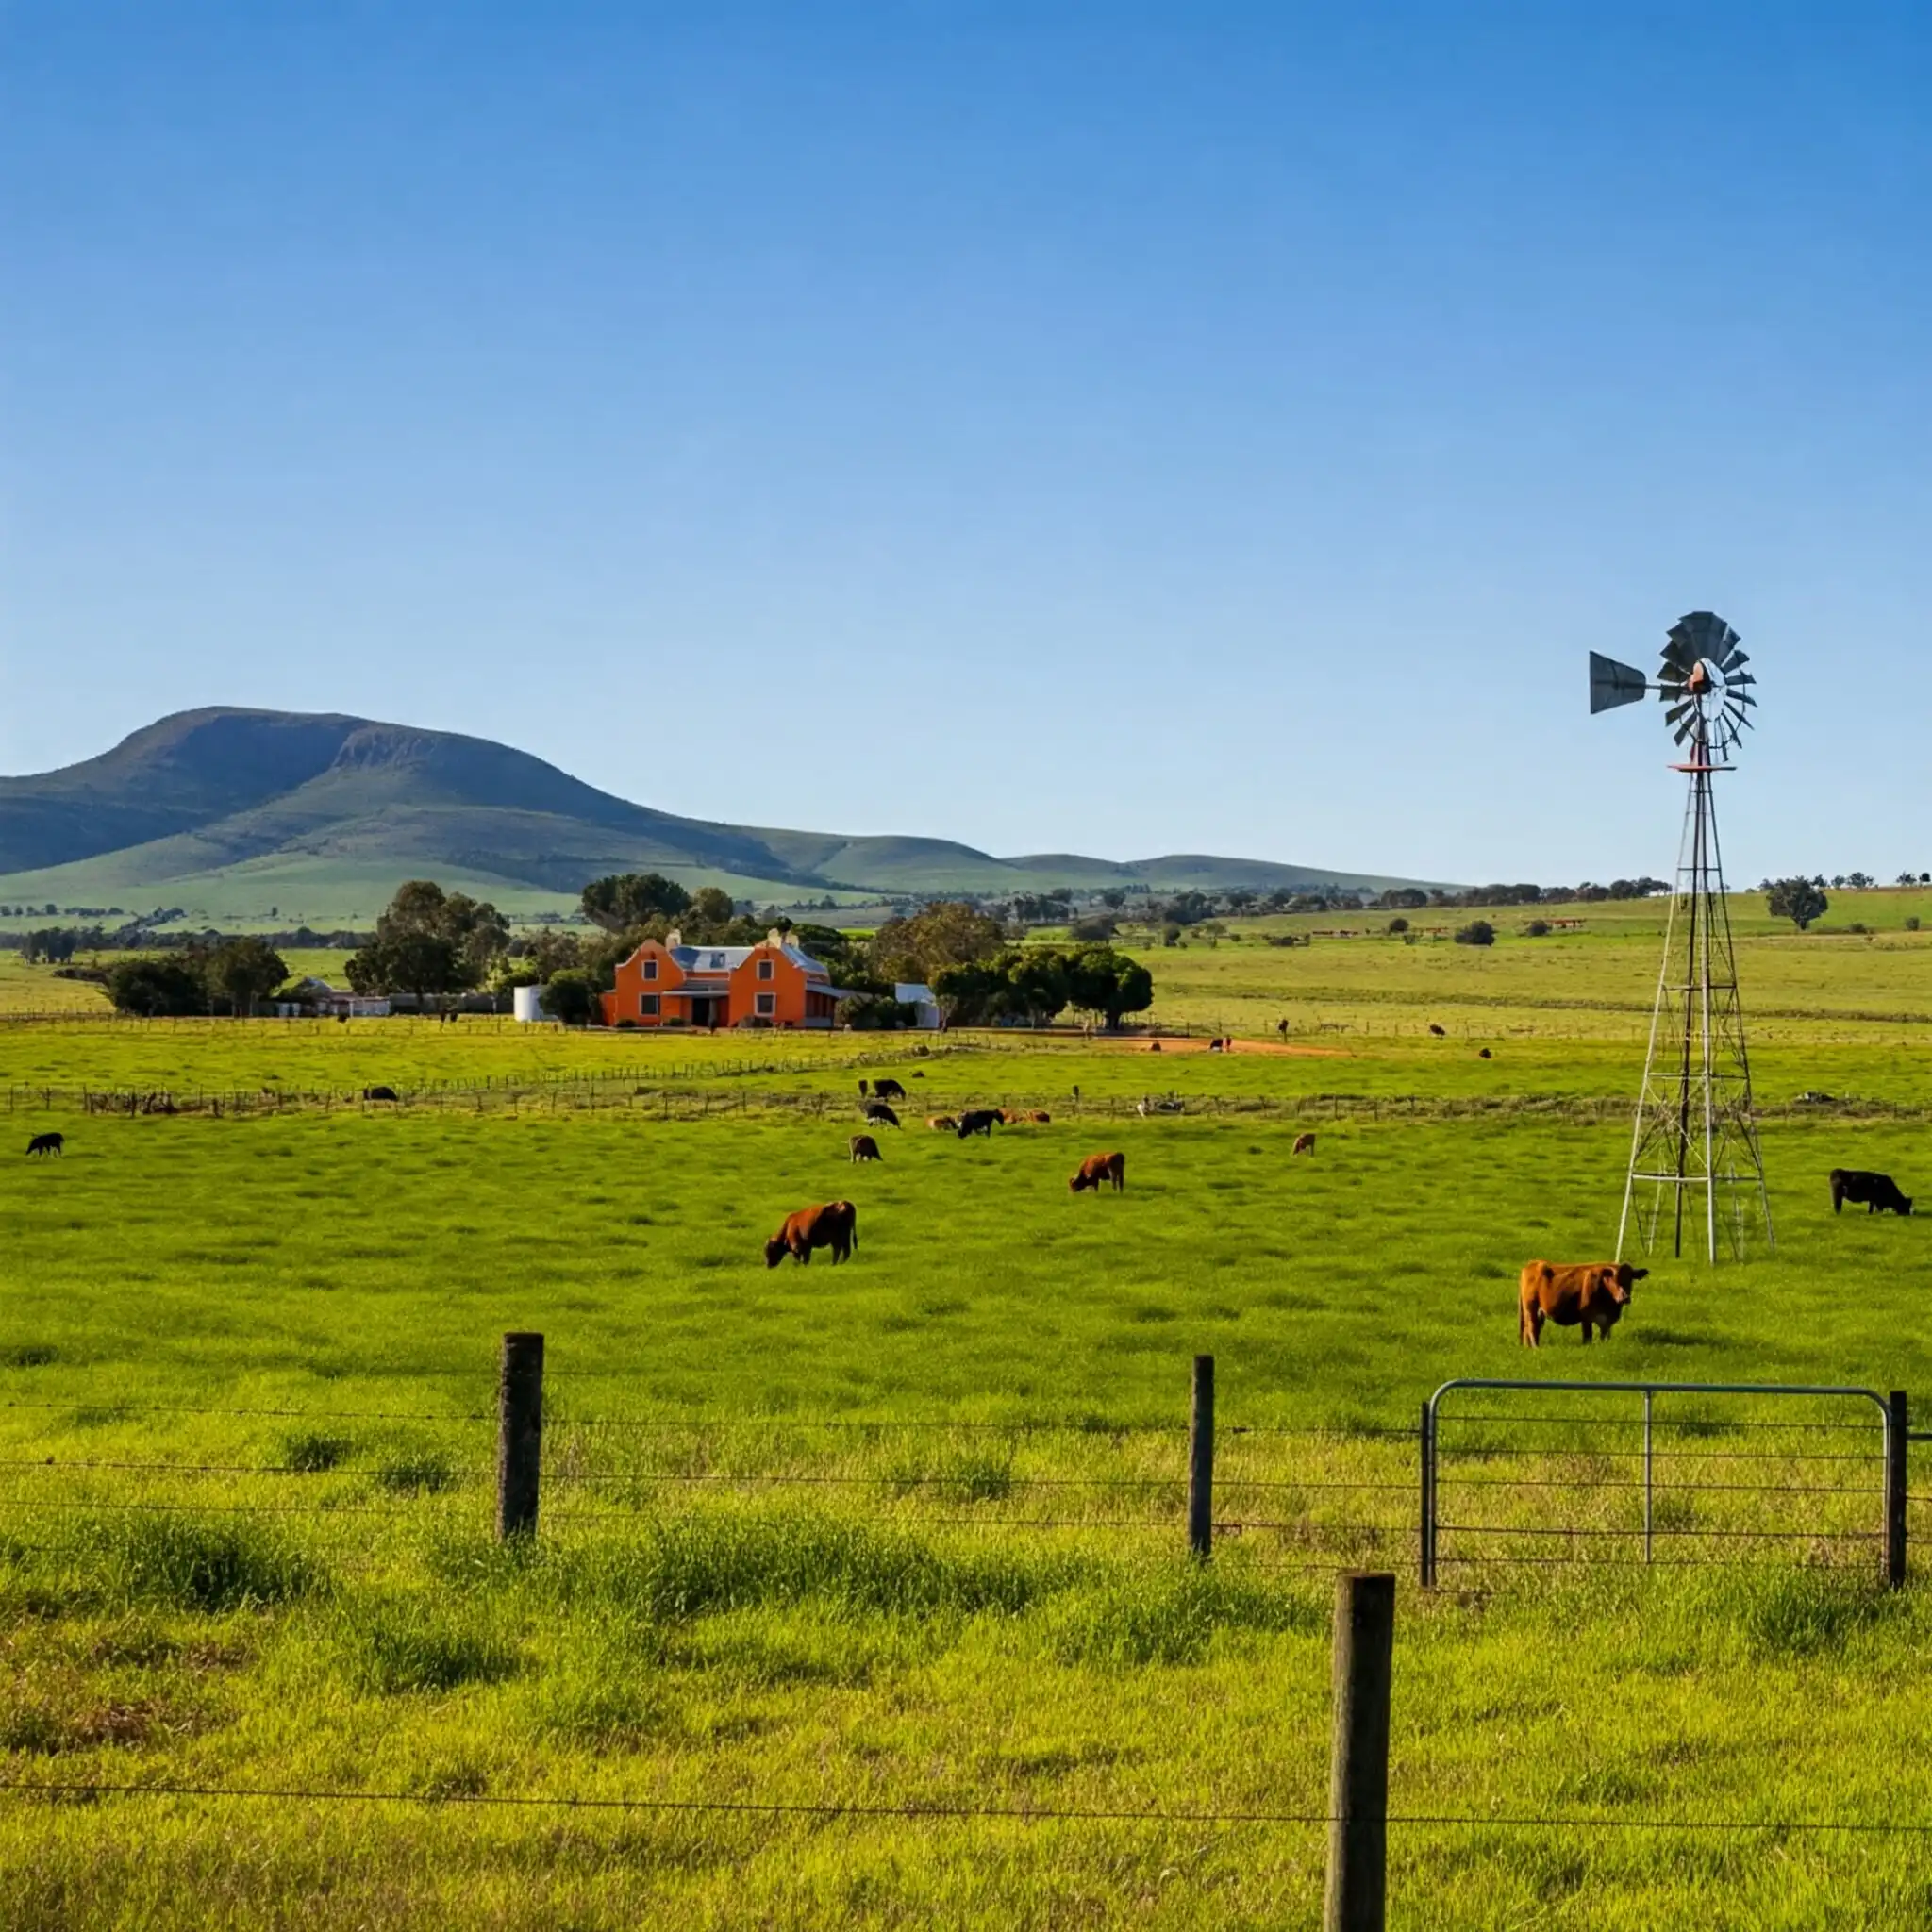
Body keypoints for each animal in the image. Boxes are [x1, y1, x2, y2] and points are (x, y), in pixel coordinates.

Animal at [1518, 1261, 1647, 1348]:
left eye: (1630, 1279)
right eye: (1615, 1279)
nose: (1625, 1297)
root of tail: (1533, 1263)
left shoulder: (1607, 1321)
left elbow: (1604, 1336)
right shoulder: (1586, 1316)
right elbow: (1587, 1337)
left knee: (1528, 1329)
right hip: (1531, 1308)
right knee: (1532, 1328)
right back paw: (1536, 1348)